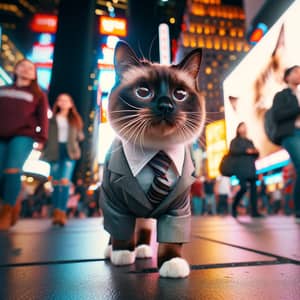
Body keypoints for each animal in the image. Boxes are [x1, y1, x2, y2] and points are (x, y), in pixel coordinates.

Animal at [99, 40, 205, 278]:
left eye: (180, 95)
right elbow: (120, 231)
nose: (166, 105)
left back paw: (143, 250)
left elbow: (170, 242)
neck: (156, 151)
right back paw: (114, 252)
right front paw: (122, 254)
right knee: (116, 229)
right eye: (143, 92)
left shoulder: (177, 209)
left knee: (144, 226)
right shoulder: (116, 205)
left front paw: (172, 264)